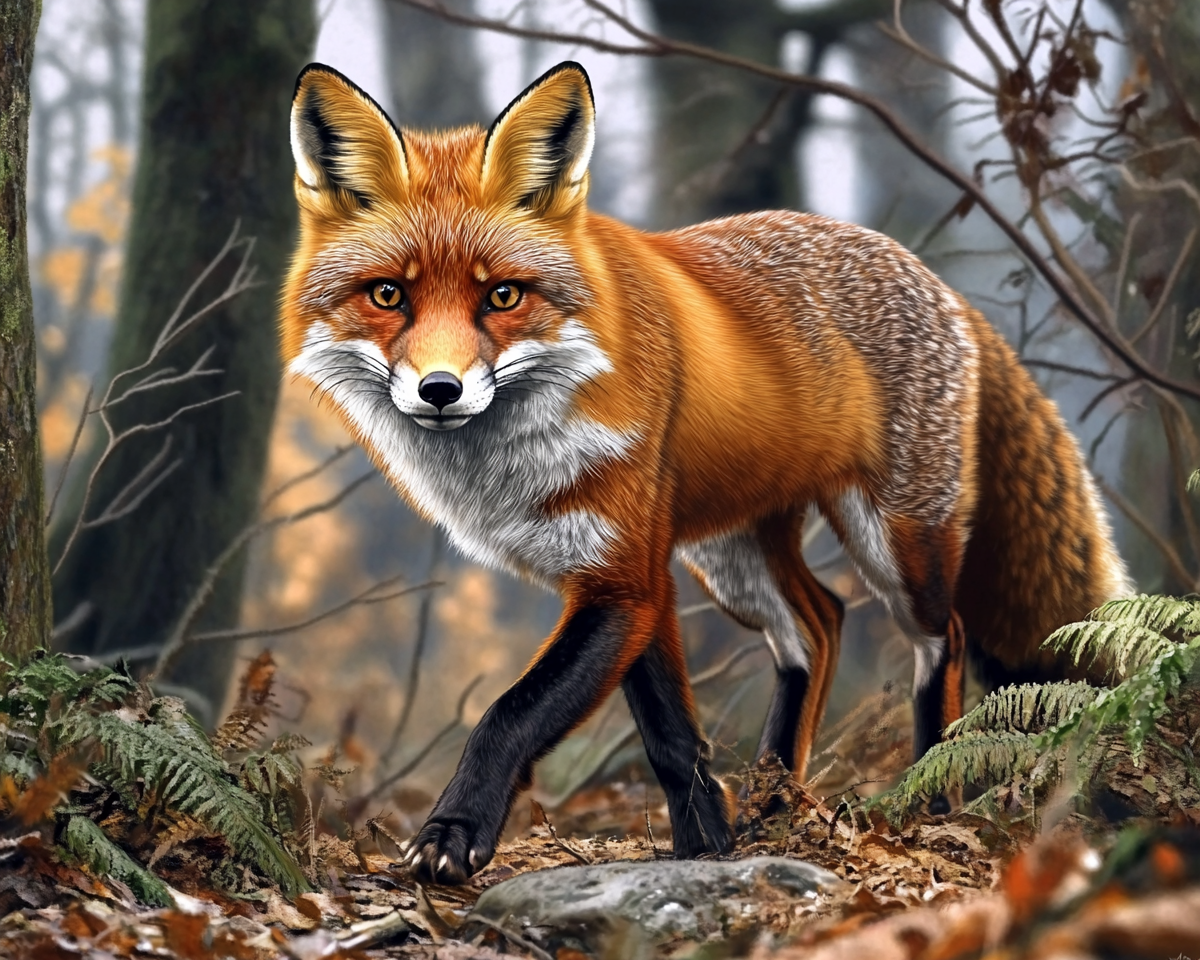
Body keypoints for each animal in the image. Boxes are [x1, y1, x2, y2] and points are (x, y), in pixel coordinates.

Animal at [281, 60, 1131, 883]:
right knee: (818, 624)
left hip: (896, 543)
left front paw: (452, 835)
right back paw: (777, 802)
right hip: (730, 556)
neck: (508, 466)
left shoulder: (625, 576)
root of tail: (938, 283)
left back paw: (932, 791)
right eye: (389, 295)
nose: (440, 391)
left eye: (503, 297)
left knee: (942, 635)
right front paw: (708, 846)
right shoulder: (636, 576)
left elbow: (510, 713)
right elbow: (669, 735)